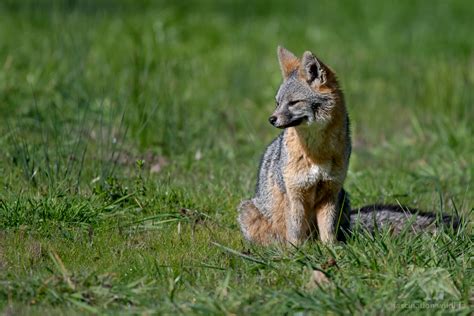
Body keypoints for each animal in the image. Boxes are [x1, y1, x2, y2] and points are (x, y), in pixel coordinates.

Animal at [239, 45, 458, 246]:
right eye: (277, 103)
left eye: (293, 102)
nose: (271, 119)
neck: (317, 153)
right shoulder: (295, 194)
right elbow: (295, 232)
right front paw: (296, 254)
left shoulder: (330, 191)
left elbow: (327, 231)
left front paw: (332, 251)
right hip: (247, 210)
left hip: (343, 199)